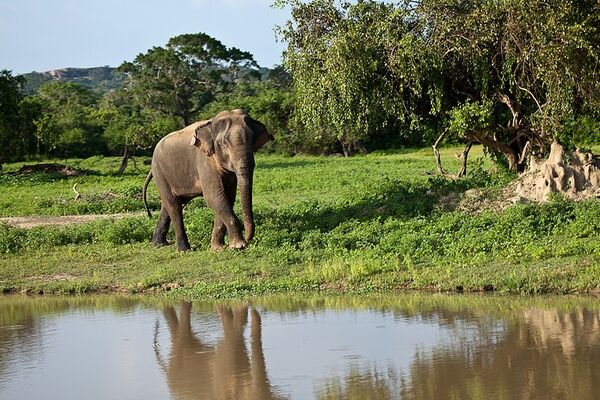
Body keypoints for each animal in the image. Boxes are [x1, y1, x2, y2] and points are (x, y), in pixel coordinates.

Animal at [142, 109, 274, 252]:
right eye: (224, 142)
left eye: (252, 139)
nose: (248, 237)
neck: (210, 124)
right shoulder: (203, 161)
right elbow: (214, 197)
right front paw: (239, 246)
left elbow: (228, 197)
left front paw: (218, 248)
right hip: (160, 174)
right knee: (174, 206)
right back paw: (184, 250)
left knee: (168, 206)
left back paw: (158, 244)